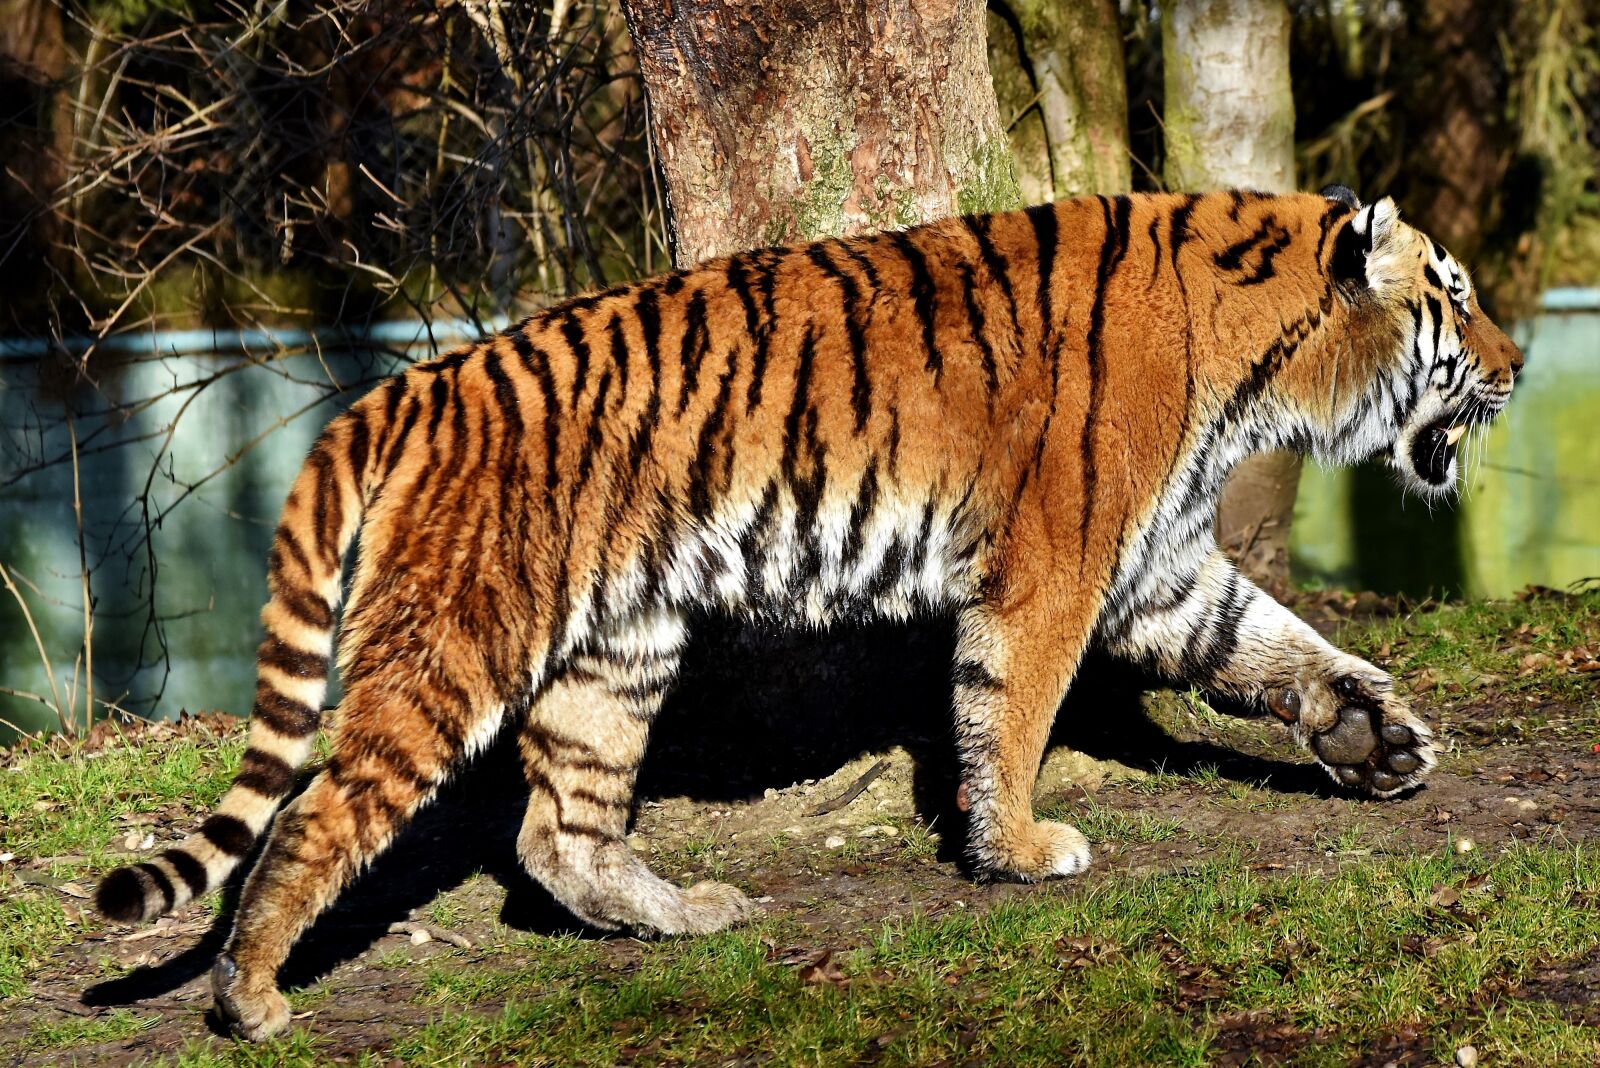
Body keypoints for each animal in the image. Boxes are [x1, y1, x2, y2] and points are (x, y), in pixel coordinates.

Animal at [95, 187, 1522, 1040]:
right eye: (1453, 295)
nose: (1513, 368)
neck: (1259, 365)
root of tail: (415, 384)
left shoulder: (1158, 567)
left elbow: (1279, 645)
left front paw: (1381, 743)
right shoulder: (1056, 566)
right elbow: (1009, 710)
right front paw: (1018, 850)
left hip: (617, 651)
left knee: (558, 833)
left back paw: (684, 917)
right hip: (460, 640)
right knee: (321, 811)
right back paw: (252, 996)